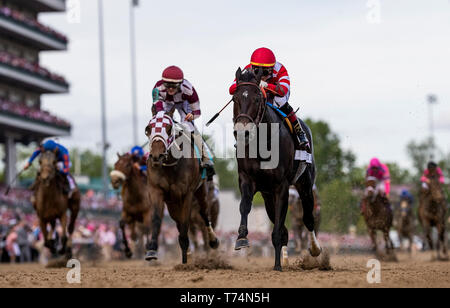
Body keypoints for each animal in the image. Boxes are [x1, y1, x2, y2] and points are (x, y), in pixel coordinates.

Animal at [145, 109, 219, 264]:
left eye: (168, 128)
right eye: (148, 129)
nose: (156, 156)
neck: (170, 165)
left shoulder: (187, 193)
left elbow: (186, 222)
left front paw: (186, 253)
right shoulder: (156, 191)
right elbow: (156, 218)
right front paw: (152, 249)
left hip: (201, 192)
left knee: (204, 215)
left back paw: (213, 241)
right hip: (172, 202)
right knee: (178, 221)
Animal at [232, 67, 320, 270]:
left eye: (257, 99)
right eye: (235, 98)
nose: (242, 132)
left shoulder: (281, 186)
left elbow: (281, 226)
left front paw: (277, 266)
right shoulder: (247, 179)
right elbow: (245, 206)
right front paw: (241, 238)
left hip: (305, 184)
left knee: (308, 219)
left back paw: (314, 249)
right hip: (267, 197)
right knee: (286, 227)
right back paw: (286, 258)